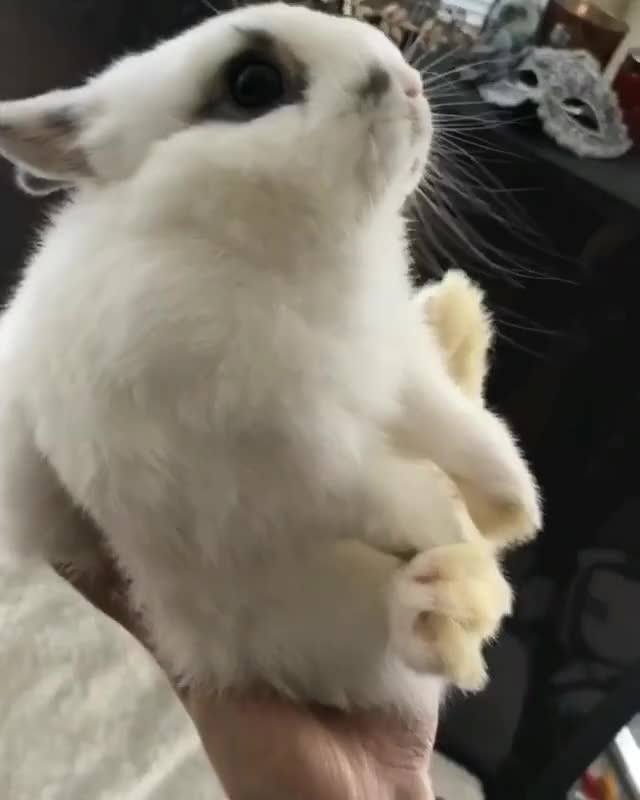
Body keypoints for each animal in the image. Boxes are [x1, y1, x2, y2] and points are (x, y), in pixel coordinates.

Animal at [0, 3, 540, 708]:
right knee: (382, 623)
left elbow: (460, 428)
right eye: (253, 84)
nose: (410, 84)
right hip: (270, 617)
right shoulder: (281, 455)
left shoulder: (398, 369)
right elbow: (377, 487)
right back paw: (446, 601)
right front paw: (450, 519)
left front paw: (515, 509)